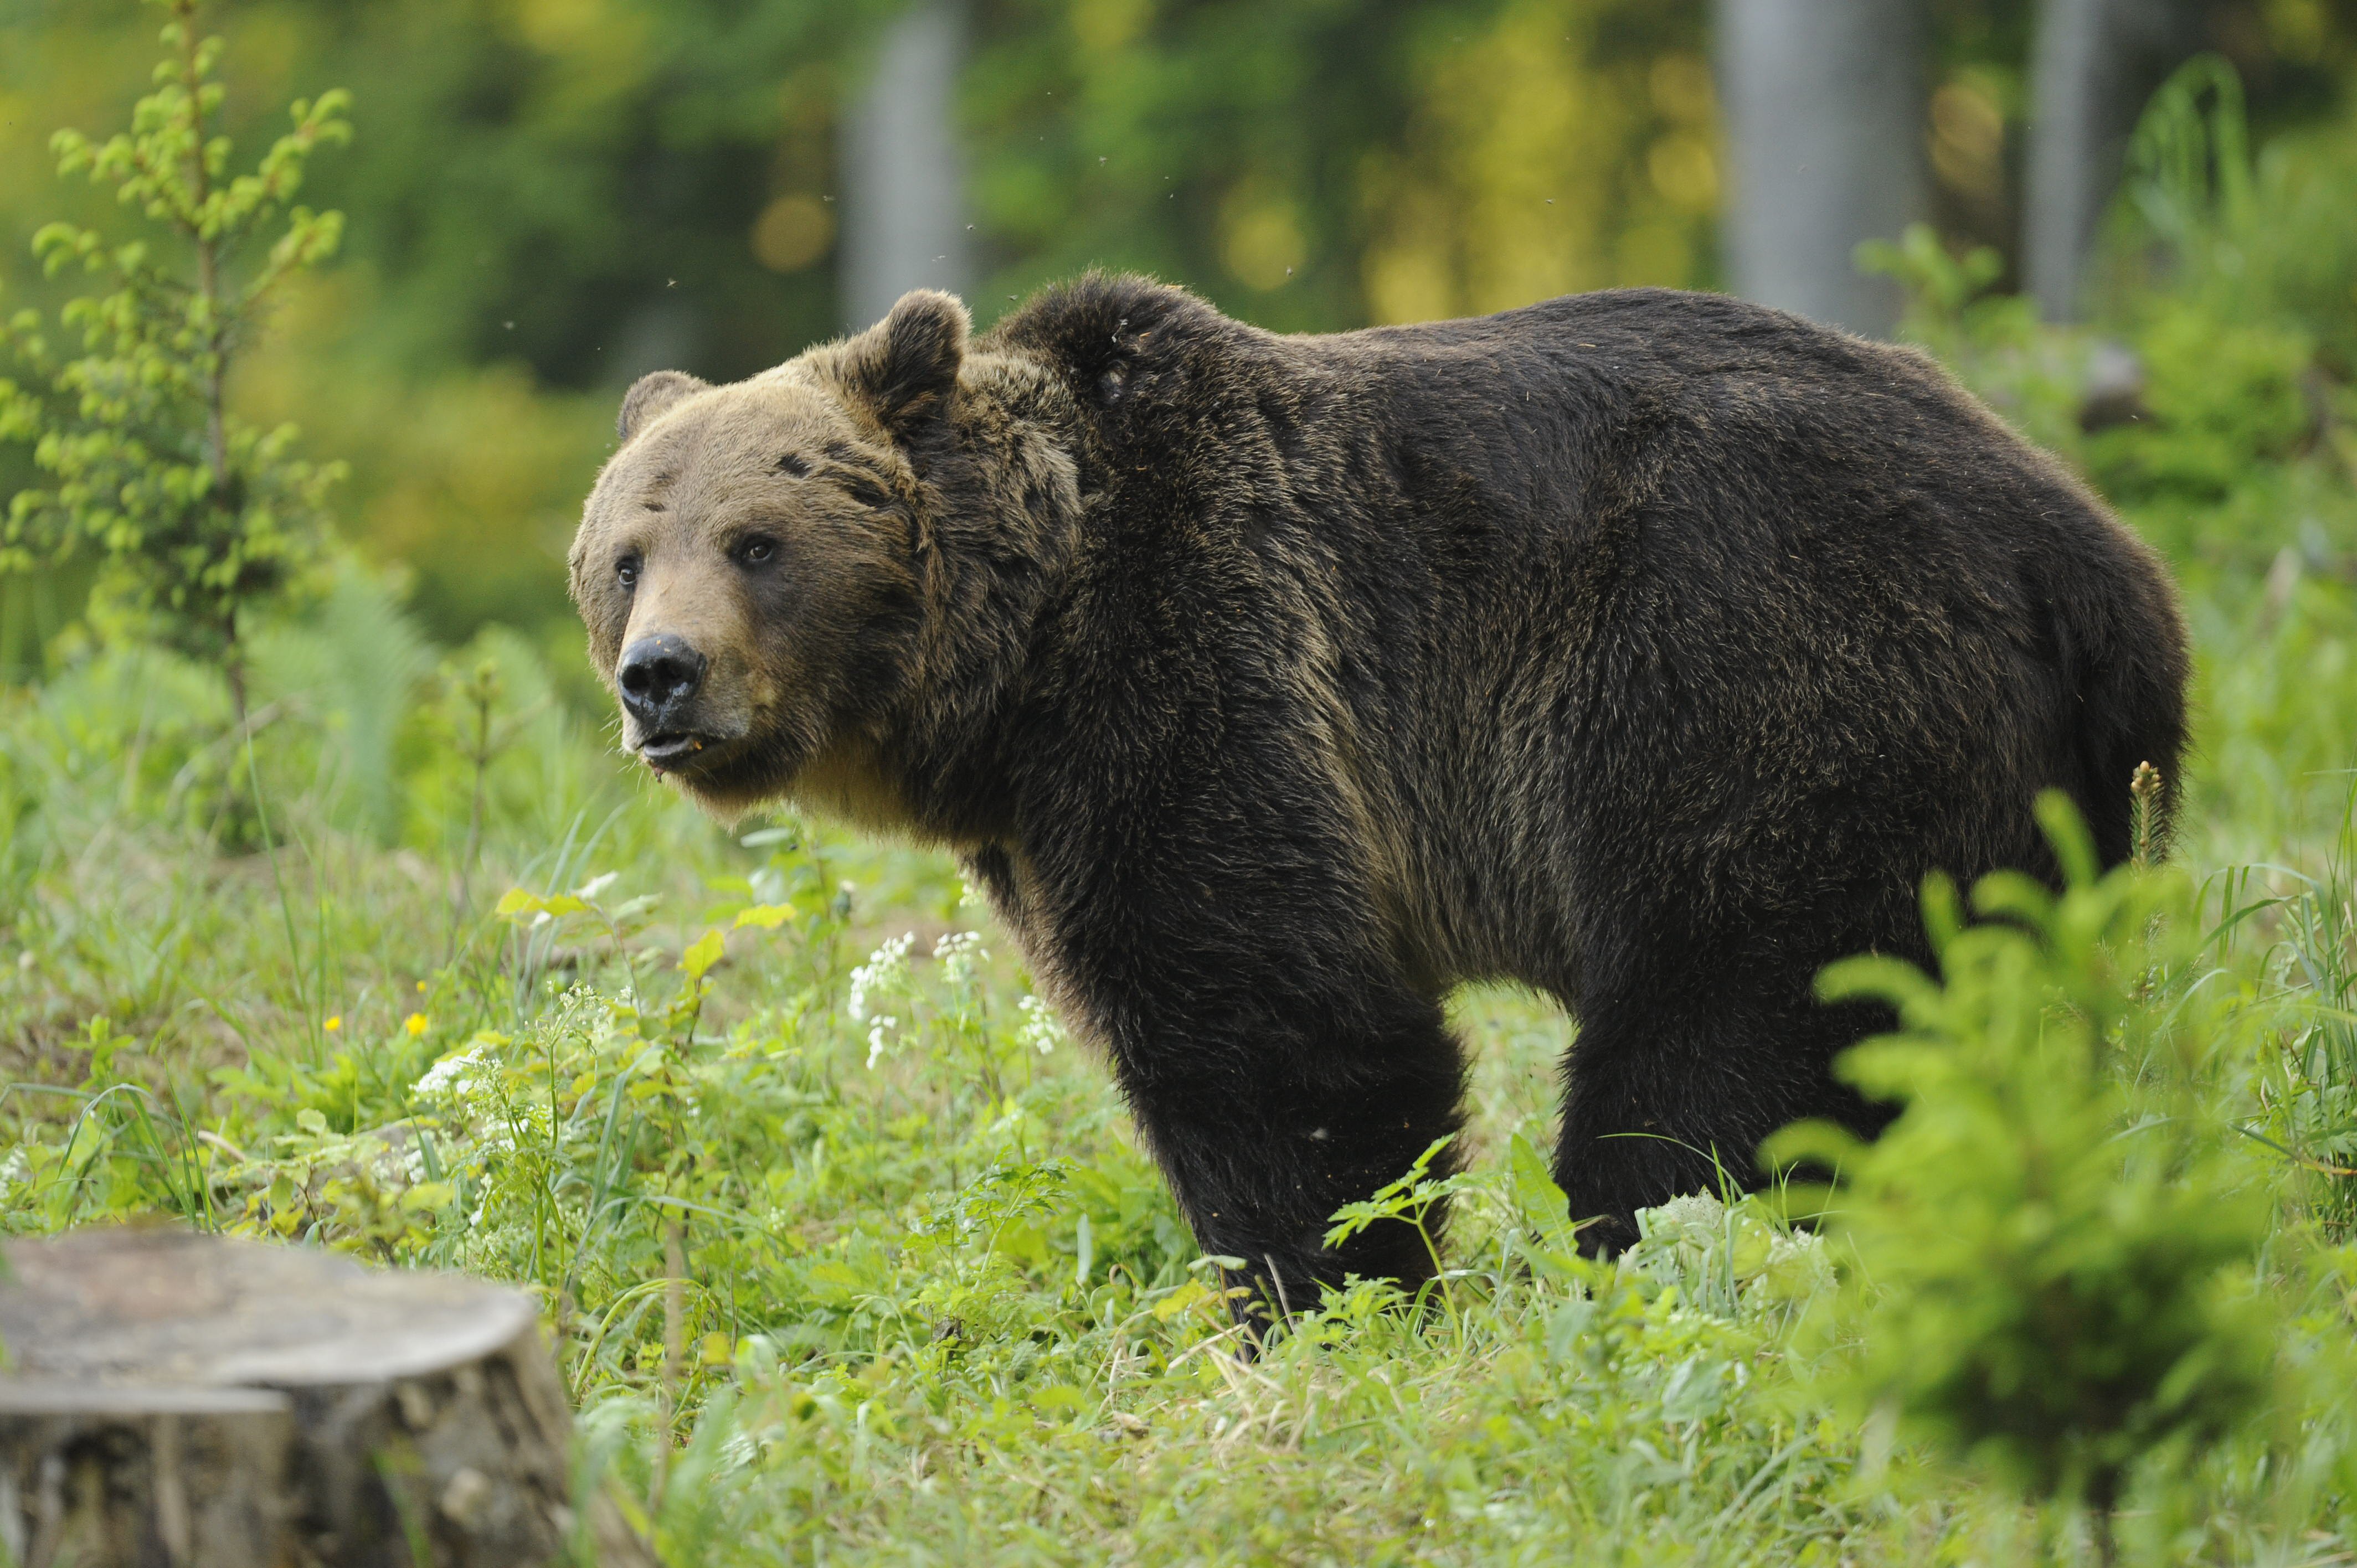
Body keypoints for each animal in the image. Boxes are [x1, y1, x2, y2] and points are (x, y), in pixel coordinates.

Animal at [570, 278, 2187, 1292]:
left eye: (759, 538)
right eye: (627, 552)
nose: (662, 676)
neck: (1016, 666)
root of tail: (2095, 556)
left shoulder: (1209, 678)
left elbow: (1288, 1046)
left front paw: (1310, 1305)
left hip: (1757, 682)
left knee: (1715, 1060)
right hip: (2038, 814)